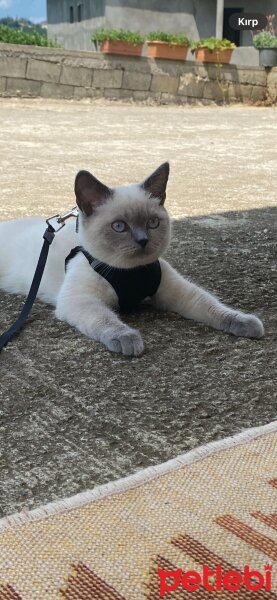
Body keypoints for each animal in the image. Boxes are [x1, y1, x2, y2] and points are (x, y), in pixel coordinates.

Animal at [0, 162, 264, 354]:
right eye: (119, 226)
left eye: (153, 223)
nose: (143, 240)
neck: (131, 272)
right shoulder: (79, 301)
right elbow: (107, 320)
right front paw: (127, 339)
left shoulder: (178, 292)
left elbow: (213, 307)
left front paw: (246, 324)